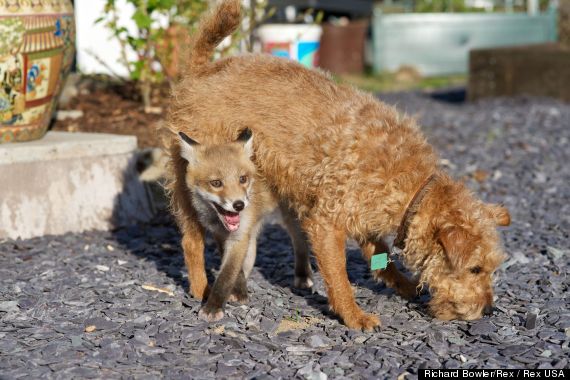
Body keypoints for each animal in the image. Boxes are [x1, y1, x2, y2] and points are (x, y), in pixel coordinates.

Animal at [163, 0, 506, 330]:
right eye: (475, 268)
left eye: (491, 267)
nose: (489, 310)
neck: (409, 183)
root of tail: (202, 70)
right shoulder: (326, 223)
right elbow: (339, 276)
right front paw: (354, 316)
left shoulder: (365, 217)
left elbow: (382, 259)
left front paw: (405, 286)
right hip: (189, 186)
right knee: (192, 239)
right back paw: (201, 288)